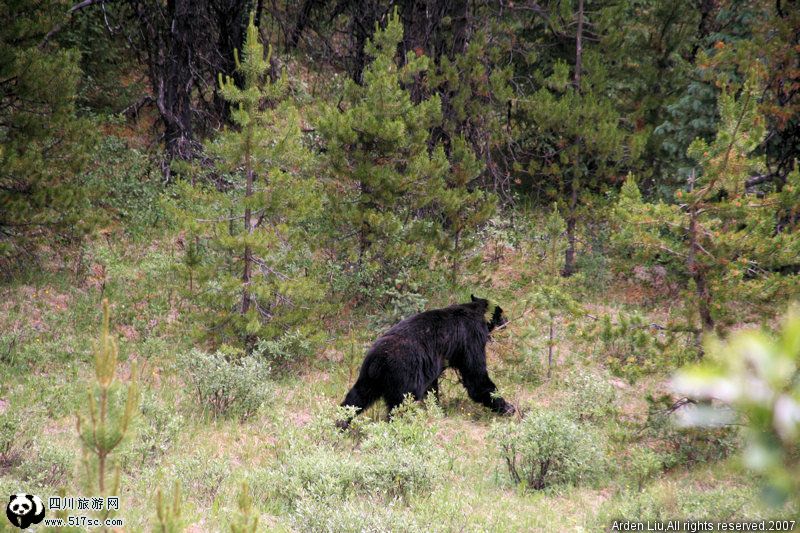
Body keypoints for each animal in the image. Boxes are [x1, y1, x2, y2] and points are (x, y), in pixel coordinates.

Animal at [338, 294, 512, 426]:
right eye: (502, 313)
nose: (507, 322)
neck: (476, 312)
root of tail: (378, 360)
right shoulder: (471, 338)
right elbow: (476, 376)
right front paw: (507, 407)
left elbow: (432, 387)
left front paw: (436, 409)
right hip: (404, 374)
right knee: (402, 404)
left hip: (368, 377)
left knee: (356, 398)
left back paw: (340, 424)